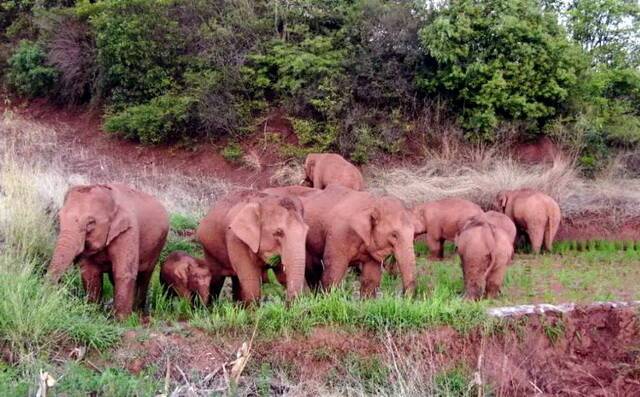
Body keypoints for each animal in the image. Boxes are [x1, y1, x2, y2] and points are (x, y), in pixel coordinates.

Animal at [47, 184, 169, 320]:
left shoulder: (129, 230)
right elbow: (90, 273)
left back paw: (138, 312)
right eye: (59, 218)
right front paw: (93, 313)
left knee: (145, 275)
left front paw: (121, 320)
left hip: (158, 244)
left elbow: (124, 272)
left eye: (91, 223)